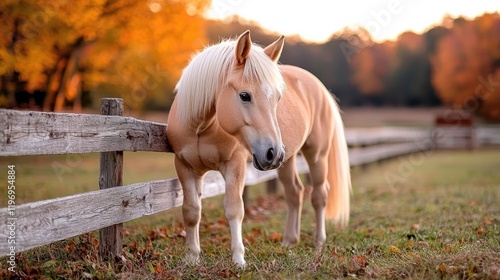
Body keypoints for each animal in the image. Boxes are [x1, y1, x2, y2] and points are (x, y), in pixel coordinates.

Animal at [168, 30, 352, 266]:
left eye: (278, 98)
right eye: (244, 95)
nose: (273, 152)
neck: (201, 126)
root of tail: (319, 87)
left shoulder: (235, 166)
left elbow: (234, 209)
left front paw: (238, 259)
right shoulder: (185, 168)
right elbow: (191, 212)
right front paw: (192, 258)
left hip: (316, 154)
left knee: (319, 194)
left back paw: (319, 241)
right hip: (287, 161)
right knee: (295, 192)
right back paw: (289, 242)